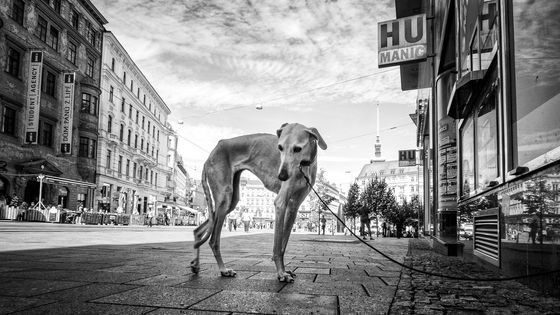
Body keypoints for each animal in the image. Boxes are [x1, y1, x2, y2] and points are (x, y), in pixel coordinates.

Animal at [190, 123, 326, 284]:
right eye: (280, 147)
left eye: (297, 148)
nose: (281, 176)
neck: (303, 165)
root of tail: (212, 153)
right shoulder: (281, 203)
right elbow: (277, 246)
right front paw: (281, 273)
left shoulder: (293, 207)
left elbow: (283, 245)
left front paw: (284, 270)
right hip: (224, 198)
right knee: (213, 240)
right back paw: (223, 270)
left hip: (230, 202)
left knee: (199, 231)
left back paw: (196, 264)